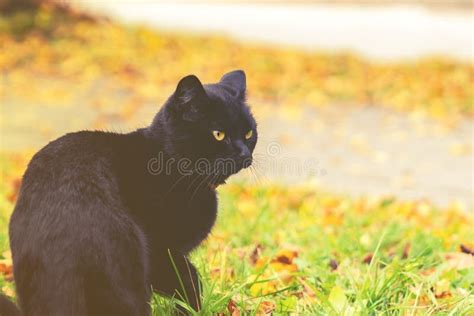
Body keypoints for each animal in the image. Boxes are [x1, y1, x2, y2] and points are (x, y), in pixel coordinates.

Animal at [1, 70, 258, 314]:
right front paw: (190, 310)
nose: (244, 153)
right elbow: (190, 280)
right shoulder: (160, 251)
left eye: (248, 133)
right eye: (218, 134)